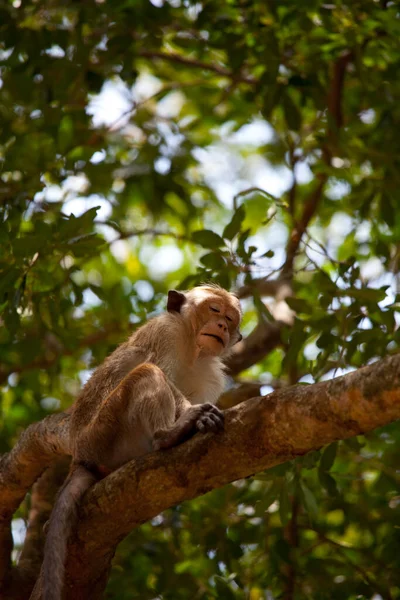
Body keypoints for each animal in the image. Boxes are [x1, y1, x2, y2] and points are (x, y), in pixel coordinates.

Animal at [42, 284, 242, 596]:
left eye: (230, 318)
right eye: (214, 310)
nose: (221, 325)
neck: (193, 350)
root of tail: (80, 454)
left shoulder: (211, 375)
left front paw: (201, 422)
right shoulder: (166, 332)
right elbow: (163, 374)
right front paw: (193, 416)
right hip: (104, 432)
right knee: (148, 372)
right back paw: (167, 435)